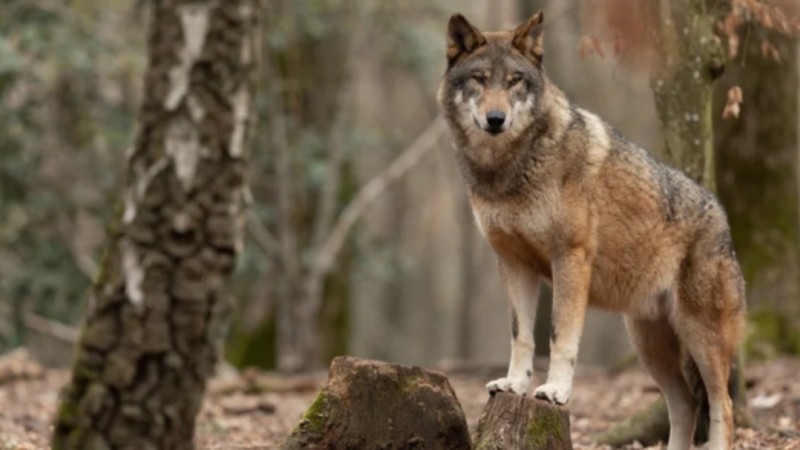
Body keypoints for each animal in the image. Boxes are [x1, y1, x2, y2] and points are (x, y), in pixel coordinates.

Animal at [437, 11, 746, 450]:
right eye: (479, 79)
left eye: (514, 81)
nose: (496, 120)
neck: (509, 169)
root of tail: (722, 216)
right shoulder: (513, 264)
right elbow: (521, 335)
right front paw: (514, 384)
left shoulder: (570, 257)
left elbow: (559, 334)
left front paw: (555, 391)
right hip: (649, 346)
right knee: (685, 405)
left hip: (702, 338)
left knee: (724, 406)